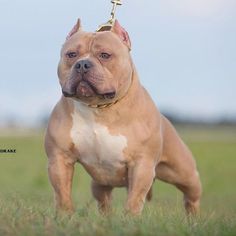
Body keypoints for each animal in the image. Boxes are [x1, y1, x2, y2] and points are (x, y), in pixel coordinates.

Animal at [45, 18, 202, 216]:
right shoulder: (59, 159)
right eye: (71, 54)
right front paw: (65, 216)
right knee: (104, 200)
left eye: (105, 55)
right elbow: (63, 194)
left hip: (184, 173)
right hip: (100, 183)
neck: (98, 107)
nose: (82, 64)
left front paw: (130, 219)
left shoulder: (141, 165)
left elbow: (134, 200)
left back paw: (193, 218)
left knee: (191, 195)